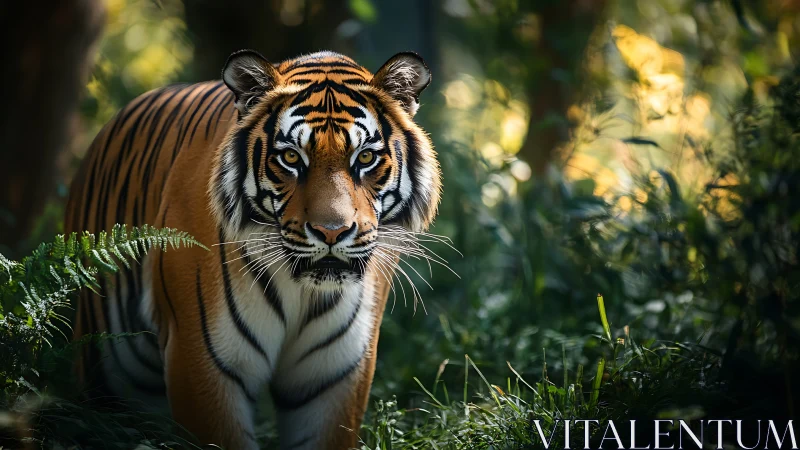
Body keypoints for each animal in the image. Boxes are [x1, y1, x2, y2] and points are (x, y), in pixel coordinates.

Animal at [64, 50, 441, 450]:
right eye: (291, 158)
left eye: (366, 158)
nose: (332, 231)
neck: (302, 290)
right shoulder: (201, 361)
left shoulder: (335, 376)